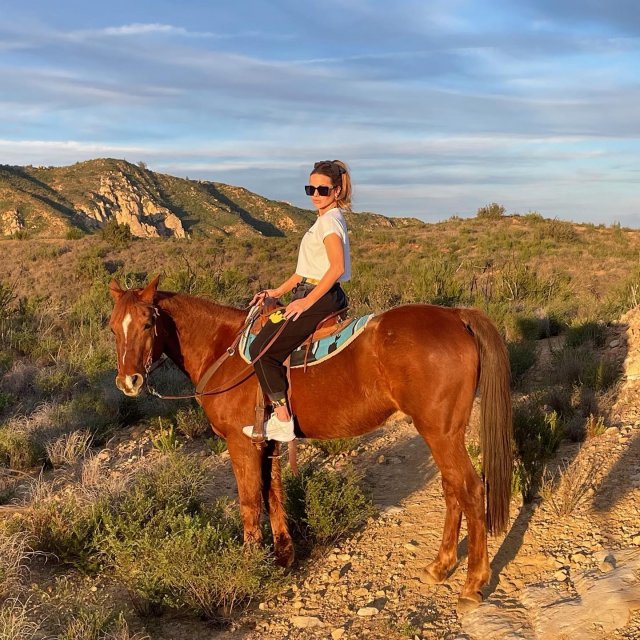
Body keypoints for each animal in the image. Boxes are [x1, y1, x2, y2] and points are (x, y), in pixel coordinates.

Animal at [107, 278, 512, 608]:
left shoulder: (240, 444)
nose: (128, 382)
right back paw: (441, 566)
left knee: (470, 489)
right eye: (112, 328)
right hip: (442, 432)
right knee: (452, 488)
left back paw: (473, 583)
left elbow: (249, 502)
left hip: (440, 432)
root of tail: (456, 315)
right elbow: (273, 494)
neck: (222, 350)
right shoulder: (267, 442)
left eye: (147, 324)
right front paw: (283, 557)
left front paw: (249, 571)